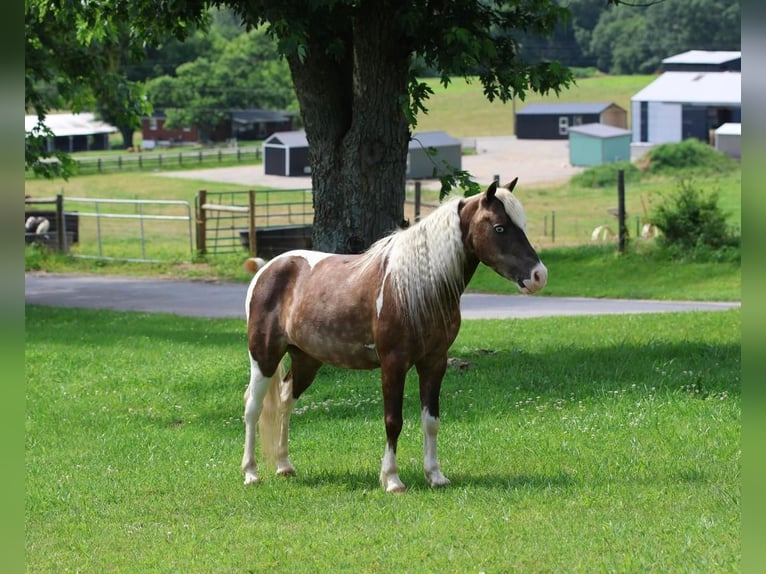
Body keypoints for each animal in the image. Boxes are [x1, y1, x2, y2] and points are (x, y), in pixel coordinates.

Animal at [243, 178, 548, 492]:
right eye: (499, 228)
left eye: (522, 225)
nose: (539, 275)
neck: (415, 289)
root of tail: (265, 270)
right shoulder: (393, 364)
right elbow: (393, 420)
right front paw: (391, 479)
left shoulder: (434, 362)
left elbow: (431, 421)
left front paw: (435, 475)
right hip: (264, 357)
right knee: (252, 407)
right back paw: (251, 473)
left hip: (306, 360)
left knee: (285, 402)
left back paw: (284, 466)